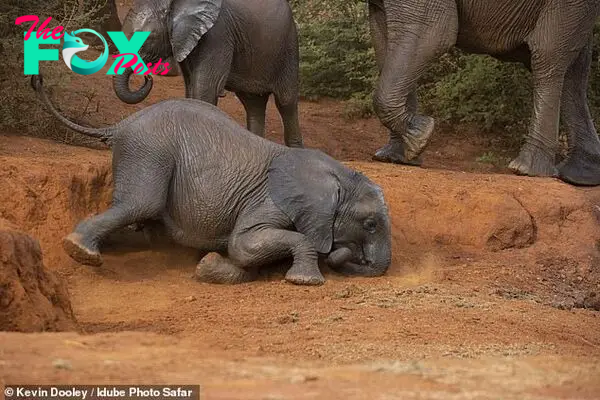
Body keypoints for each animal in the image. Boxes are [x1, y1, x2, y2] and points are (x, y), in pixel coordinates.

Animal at [31, 75, 394, 284]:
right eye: (370, 224)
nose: (346, 253)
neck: (337, 174)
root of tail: (121, 123)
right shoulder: (270, 202)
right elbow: (245, 243)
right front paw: (306, 282)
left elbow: (246, 255)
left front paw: (208, 267)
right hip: (149, 149)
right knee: (140, 203)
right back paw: (81, 251)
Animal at [112, 0, 302, 148]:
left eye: (146, 39)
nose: (147, 76)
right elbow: (191, 88)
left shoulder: (218, 35)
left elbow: (205, 89)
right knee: (253, 103)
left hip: (288, 47)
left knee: (286, 101)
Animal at [368, 0, 600, 187]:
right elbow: (382, 40)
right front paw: (396, 157)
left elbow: (433, 34)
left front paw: (420, 134)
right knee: (575, 70)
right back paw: (580, 175)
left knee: (546, 56)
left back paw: (526, 170)